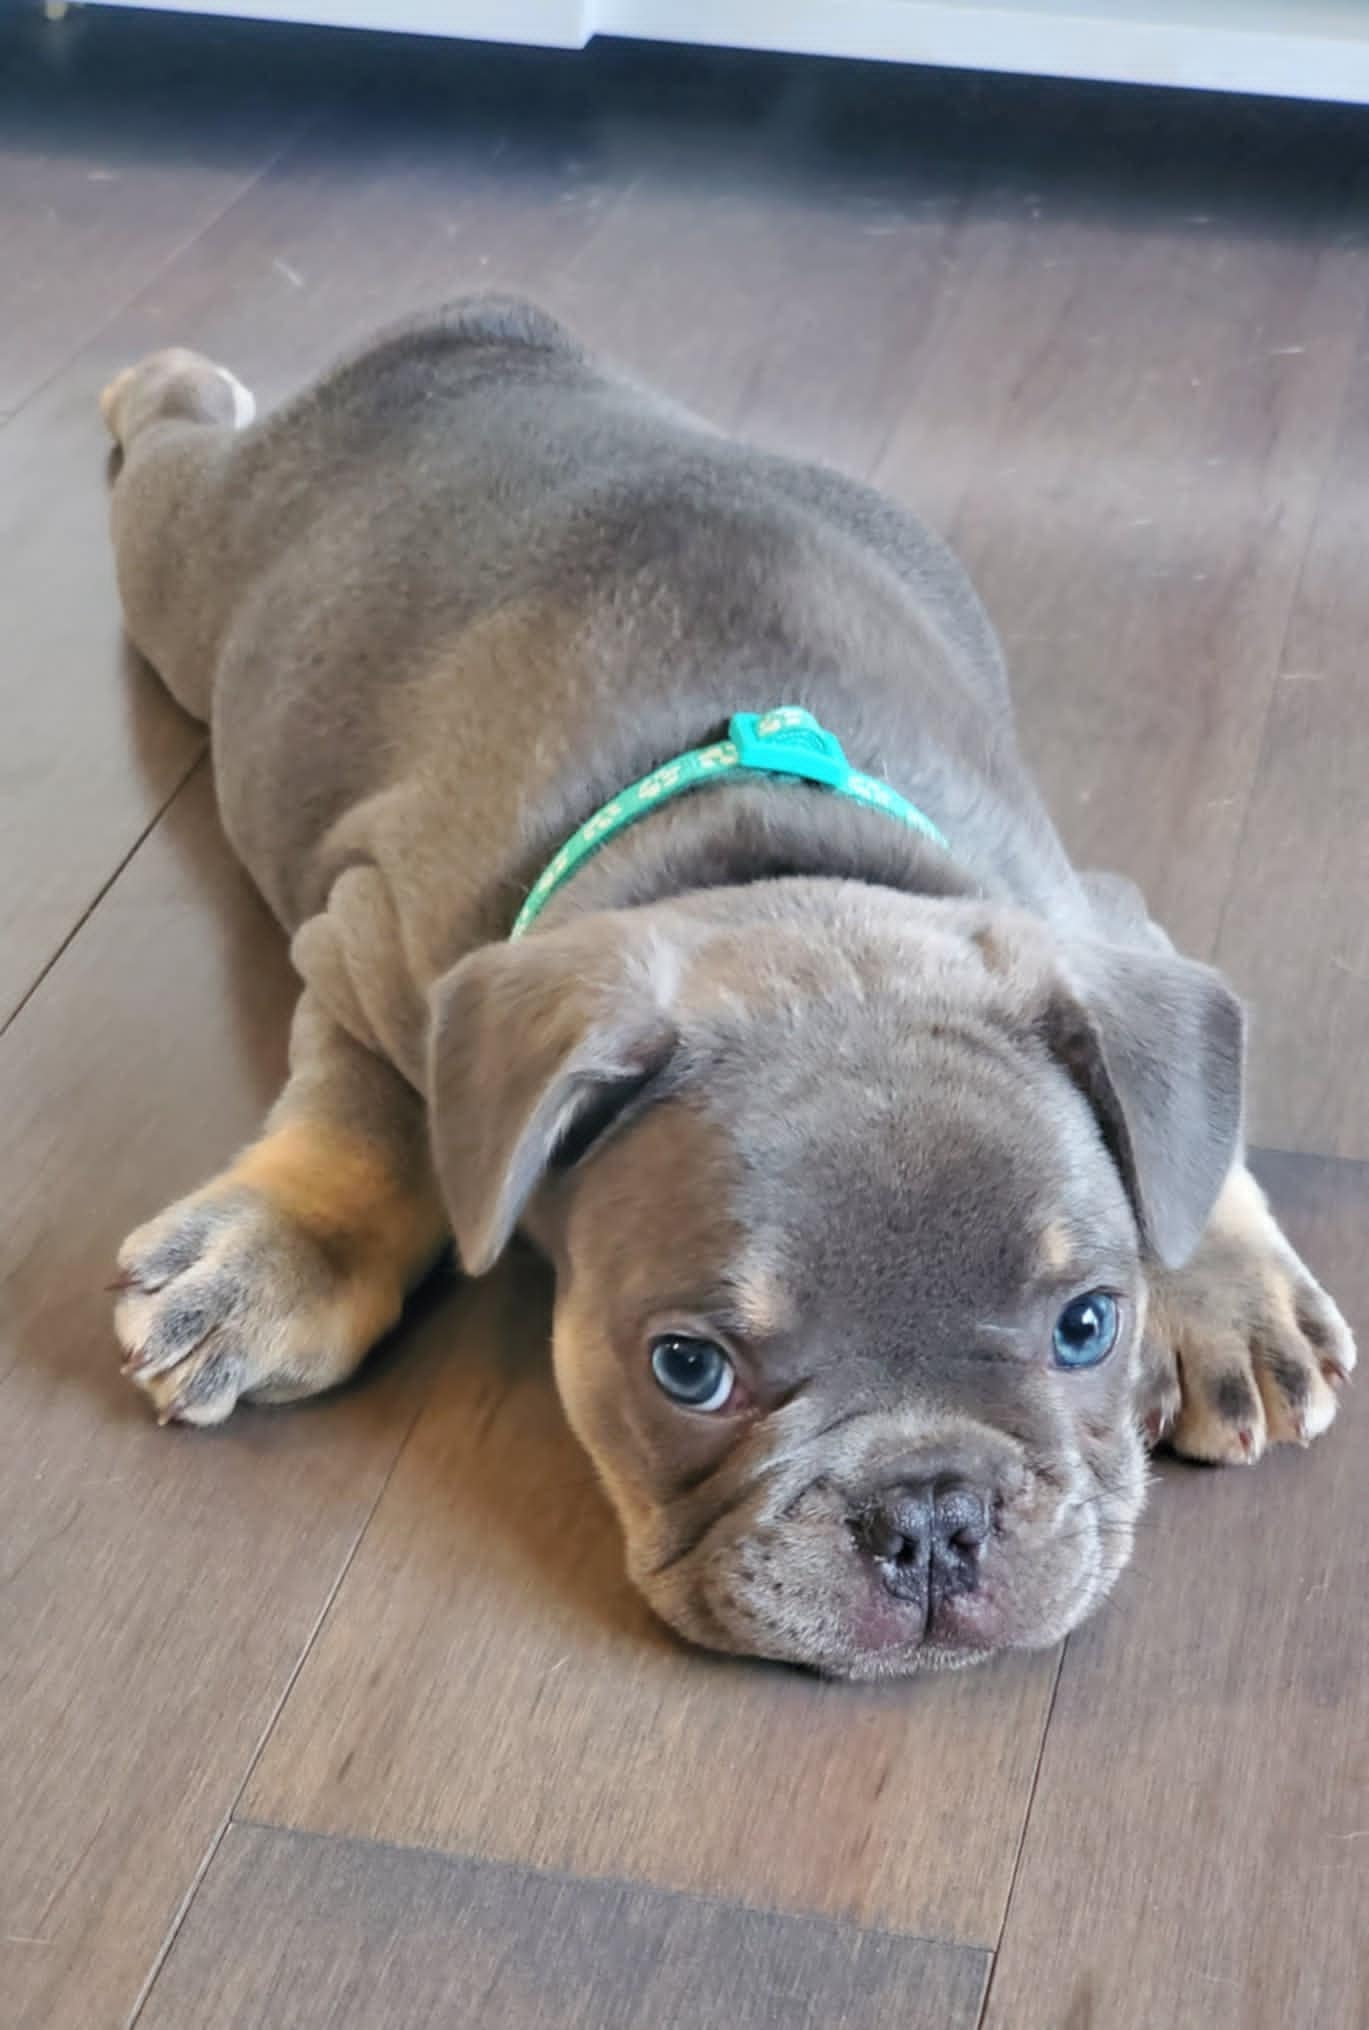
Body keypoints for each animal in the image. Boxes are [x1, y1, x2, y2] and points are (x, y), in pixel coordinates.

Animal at [101, 296, 1348, 1664]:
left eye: (1088, 1326)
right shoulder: (367, 947)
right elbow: (372, 1106)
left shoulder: (1095, 912)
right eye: (687, 1369)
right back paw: (162, 380)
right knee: (163, 451)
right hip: (190, 564)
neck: (763, 847)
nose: (930, 1512)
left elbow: (1191, 1132)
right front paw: (277, 1249)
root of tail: (484, 335)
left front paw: (1226, 1290)